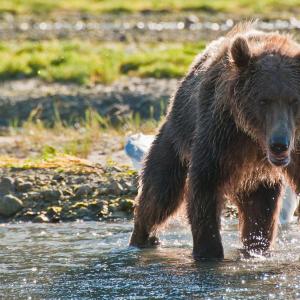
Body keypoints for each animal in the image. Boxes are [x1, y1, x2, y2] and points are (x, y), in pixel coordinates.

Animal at [128, 21, 300, 260]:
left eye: (294, 100)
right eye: (263, 100)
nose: (279, 144)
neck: (254, 138)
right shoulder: (220, 135)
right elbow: (204, 186)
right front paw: (209, 252)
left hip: (257, 179)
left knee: (260, 211)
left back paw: (256, 249)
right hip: (175, 137)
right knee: (160, 193)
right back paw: (142, 239)